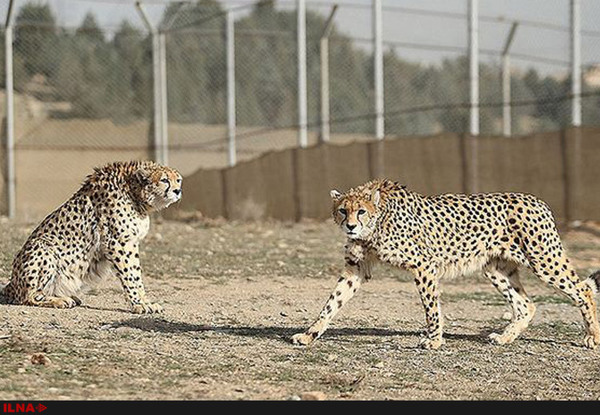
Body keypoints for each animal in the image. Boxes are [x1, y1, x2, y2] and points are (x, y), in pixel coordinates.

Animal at [1, 161, 182, 314]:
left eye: (178, 180)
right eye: (164, 180)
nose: (177, 191)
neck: (133, 191)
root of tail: (12, 284)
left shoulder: (130, 242)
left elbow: (135, 272)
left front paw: (144, 302)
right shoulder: (120, 243)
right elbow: (131, 275)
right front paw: (140, 304)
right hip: (43, 248)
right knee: (28, 297)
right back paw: (59, 301)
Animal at [292, 179, 600, 352]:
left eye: (361, 211)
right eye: (343, 210)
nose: (351, 226)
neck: (377, 224)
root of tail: (537, 200)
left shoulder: (424, 265)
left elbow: (431, 307)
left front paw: (434, 340)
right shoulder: (356, 268)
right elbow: (332, 302)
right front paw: (309, 334)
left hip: (544, 260)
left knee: (582, 289)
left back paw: (591, 337)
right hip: (496, 268)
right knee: (526, 304)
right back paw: (504, 338)